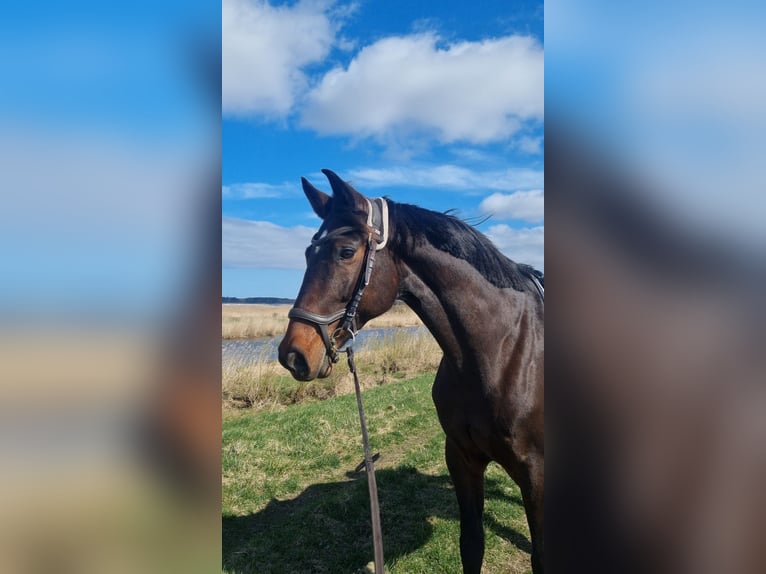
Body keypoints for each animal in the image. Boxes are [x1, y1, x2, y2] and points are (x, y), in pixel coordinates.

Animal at [277, 169, 545, 574]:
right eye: (309, 253)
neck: (499, 354)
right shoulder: (461, 458)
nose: (293, 355)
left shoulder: (536, 475)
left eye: (345, 252)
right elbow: (472, 544)